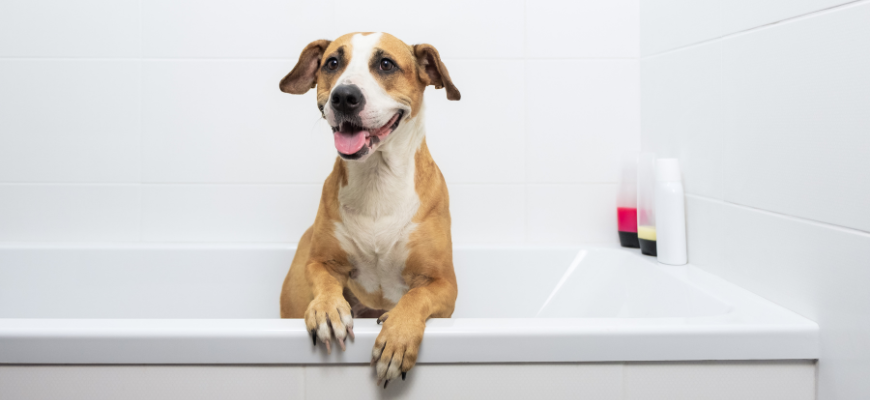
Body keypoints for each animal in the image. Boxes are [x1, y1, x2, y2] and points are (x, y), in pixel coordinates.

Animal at [280, 32, 460, 386]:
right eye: (332, 63)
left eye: (386, 64)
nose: (344, 96)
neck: (377, 179)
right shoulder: (319, 262)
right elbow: (324, 281)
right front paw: (327, 309)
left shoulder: (444, 285)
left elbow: (416, 296)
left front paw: (397, 339)